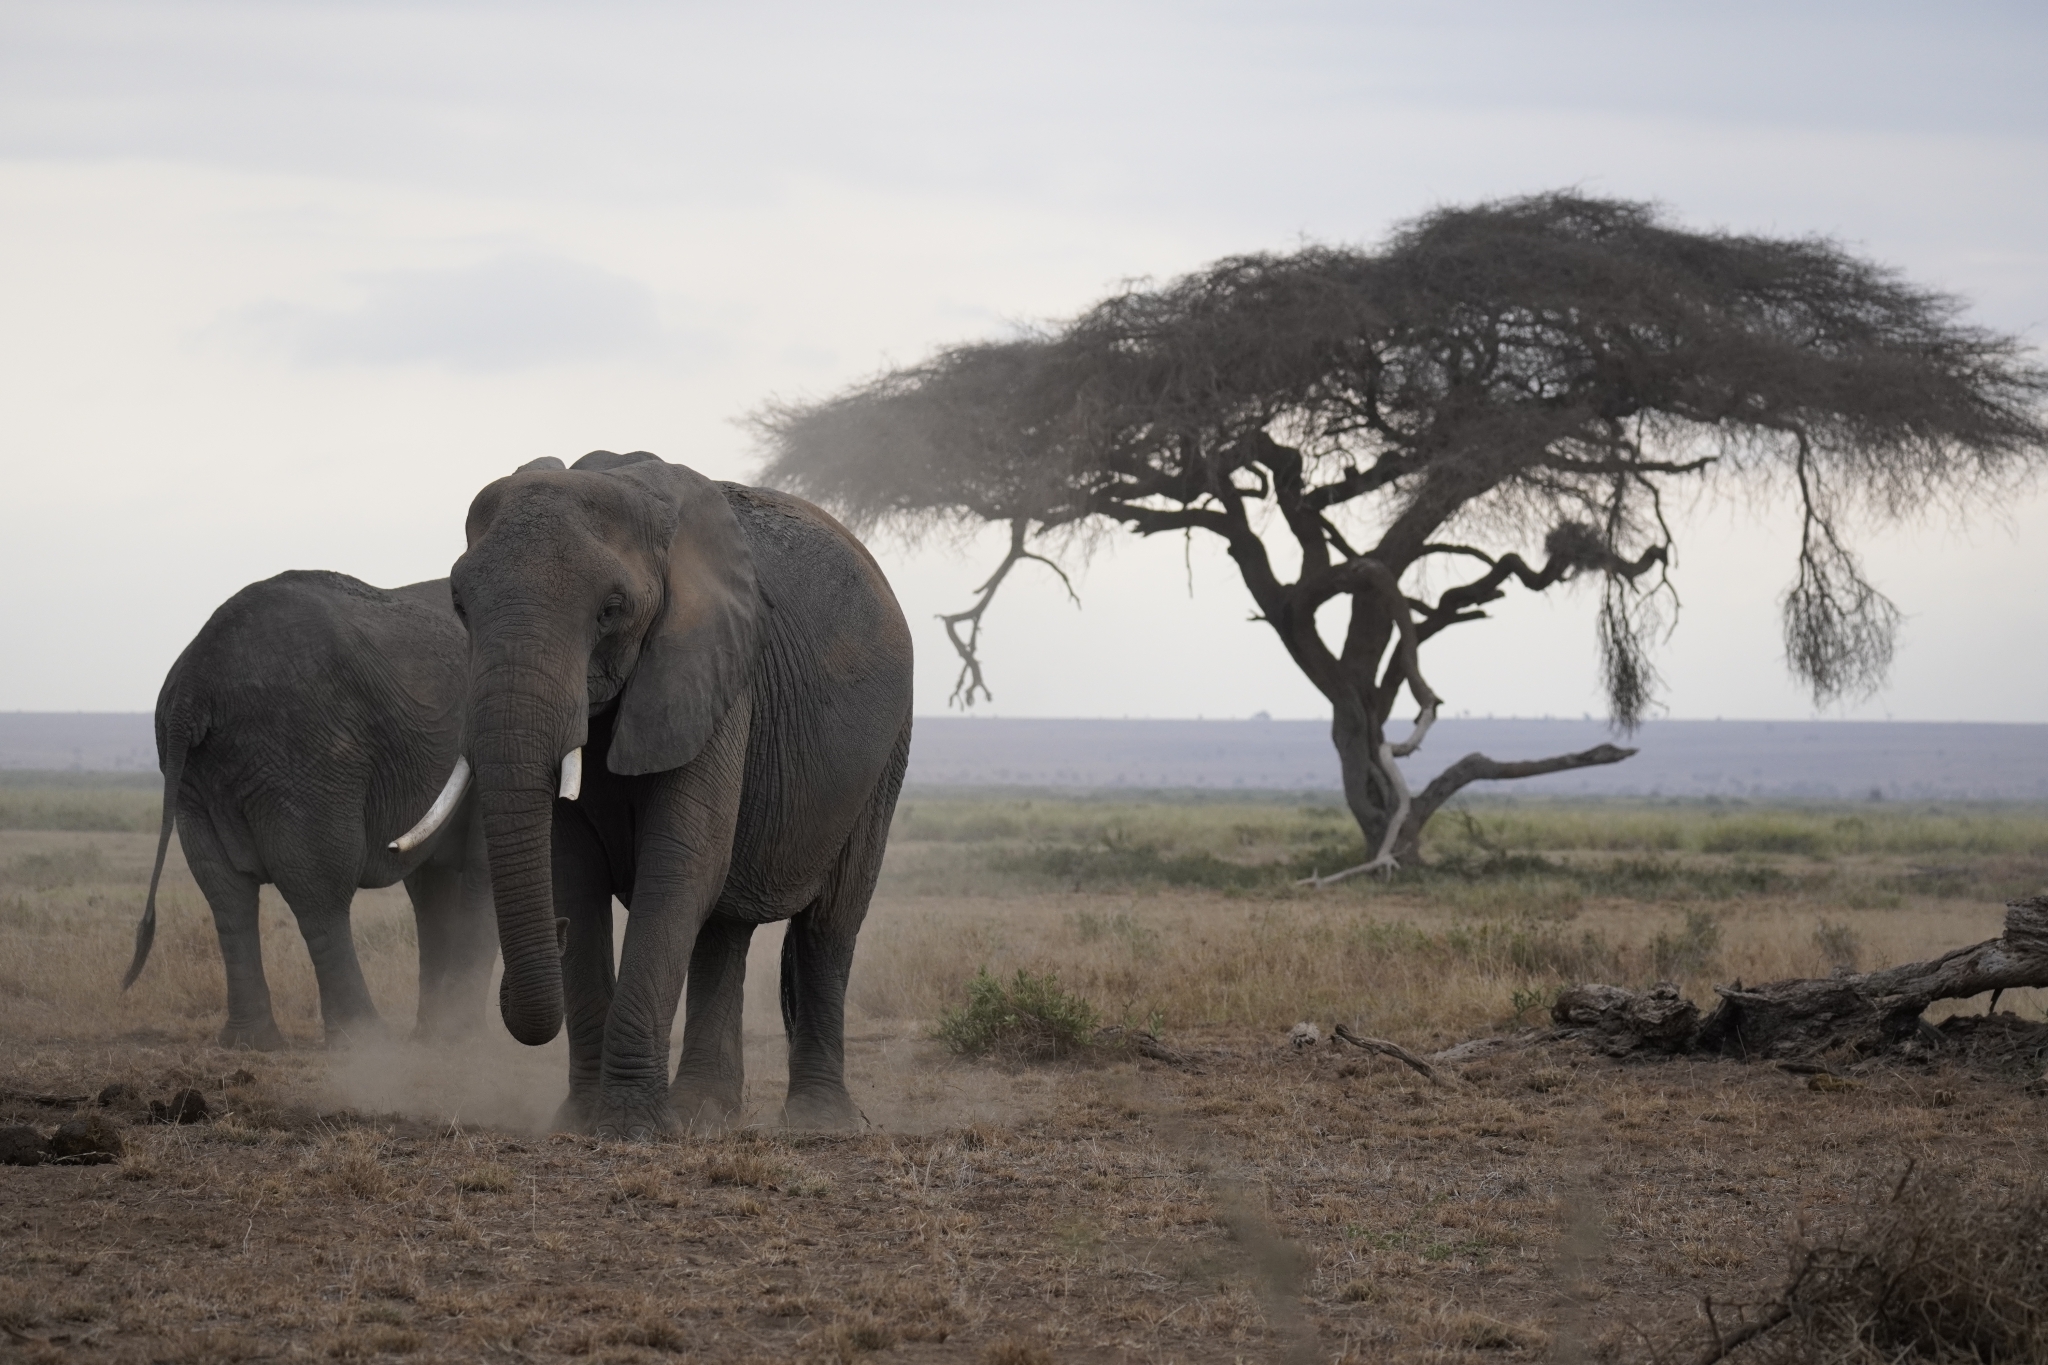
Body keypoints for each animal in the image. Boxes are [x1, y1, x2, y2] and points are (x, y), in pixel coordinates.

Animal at [124, 568, 499, 1047]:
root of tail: (193, 682)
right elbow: (479, 868)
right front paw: (461, 1038)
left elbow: (431, 883)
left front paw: (435, 1035)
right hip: (301, 755)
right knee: (320, 886)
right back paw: (364, 1039)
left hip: (199, 776)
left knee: (225, 888)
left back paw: (252, 1041)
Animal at [448, 454, 913, 1137]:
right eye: (459, 605)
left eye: (611, 608)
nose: (552, 936)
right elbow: (574, 876)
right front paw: (578, 1122)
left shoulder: (715, 672)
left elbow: (678, 867)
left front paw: (628, 1129)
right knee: (725, 925)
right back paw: (704, 1113)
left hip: (884, 755)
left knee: (829, 925)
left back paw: (818, 1122)